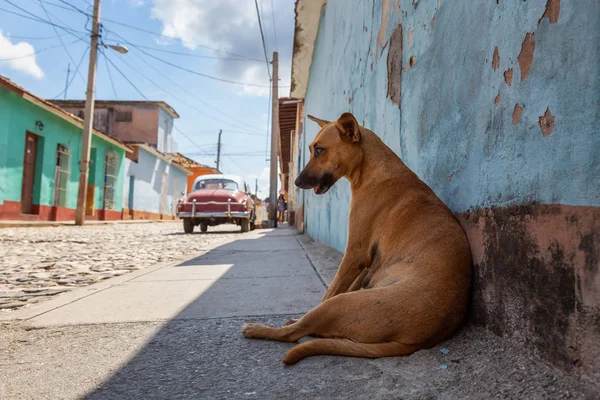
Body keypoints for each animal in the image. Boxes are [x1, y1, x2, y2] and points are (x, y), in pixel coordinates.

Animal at [241, 111, 472, 364]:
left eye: (319, 150)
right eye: (310, 149)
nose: (296, 182)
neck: (371, 170)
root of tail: (420, 341)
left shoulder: (355, 254)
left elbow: (330, 291)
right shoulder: (365, 264)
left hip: (340, 305)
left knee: (296, 332)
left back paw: (260, 329)